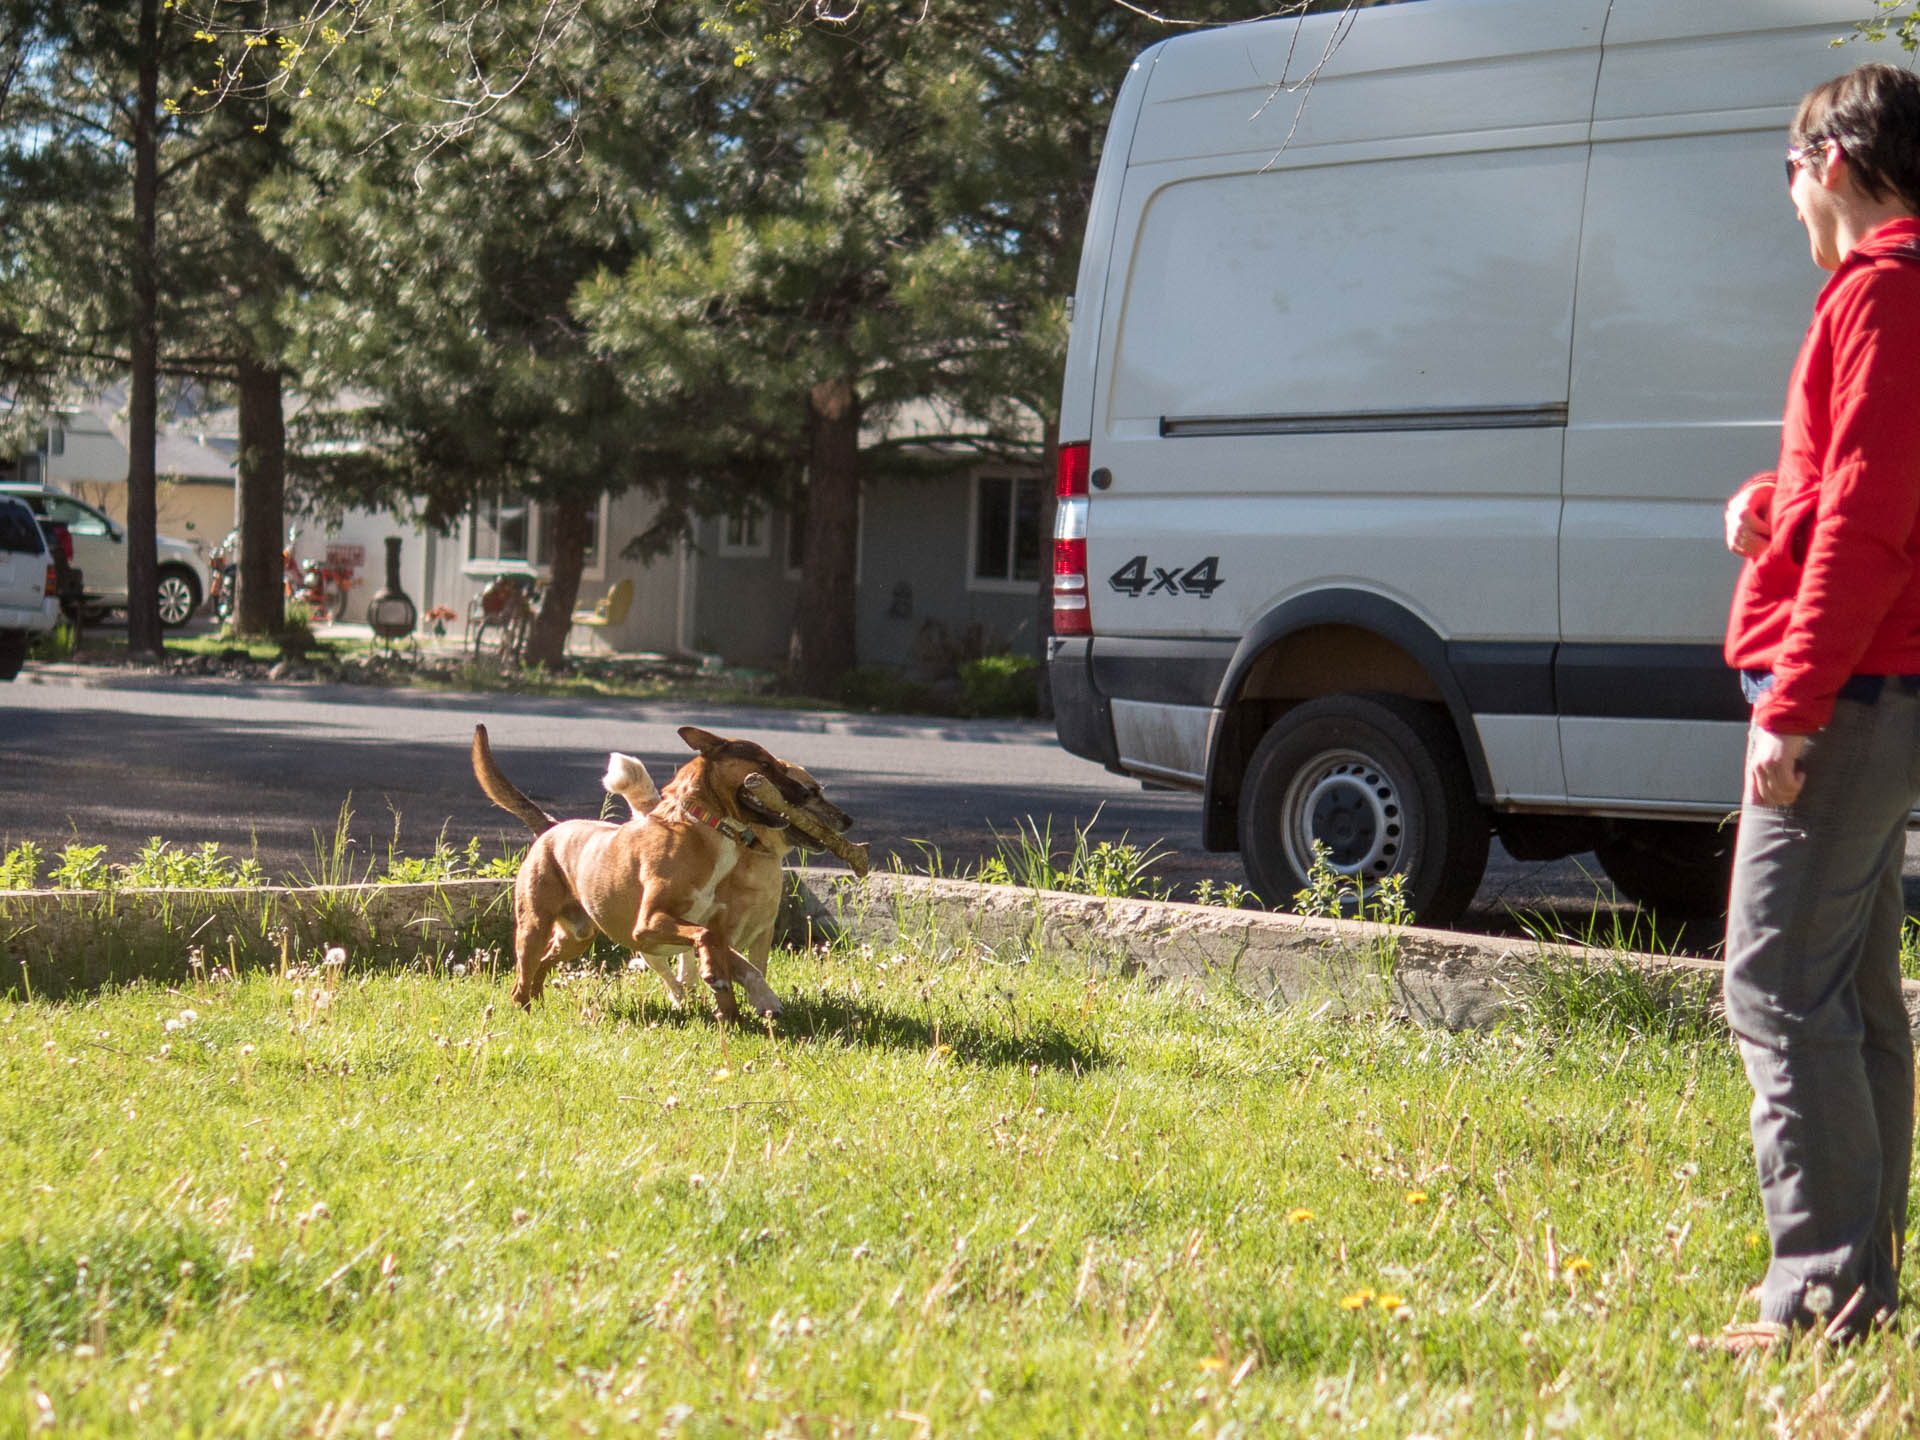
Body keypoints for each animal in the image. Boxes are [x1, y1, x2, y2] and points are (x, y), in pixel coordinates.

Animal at [468, 725, 852, 1021]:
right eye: (764, 764)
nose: (801, 793)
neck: (704, 828)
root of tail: (551, 827)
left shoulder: (716, 927)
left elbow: (727, 955)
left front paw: (730, 1008)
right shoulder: (648, 923)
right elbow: (705, 938)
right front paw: (716, 979)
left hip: (577, 935)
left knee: (546, 961)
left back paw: (538, 997)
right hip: (533, 925)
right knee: (522, 975)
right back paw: (524, 1009)